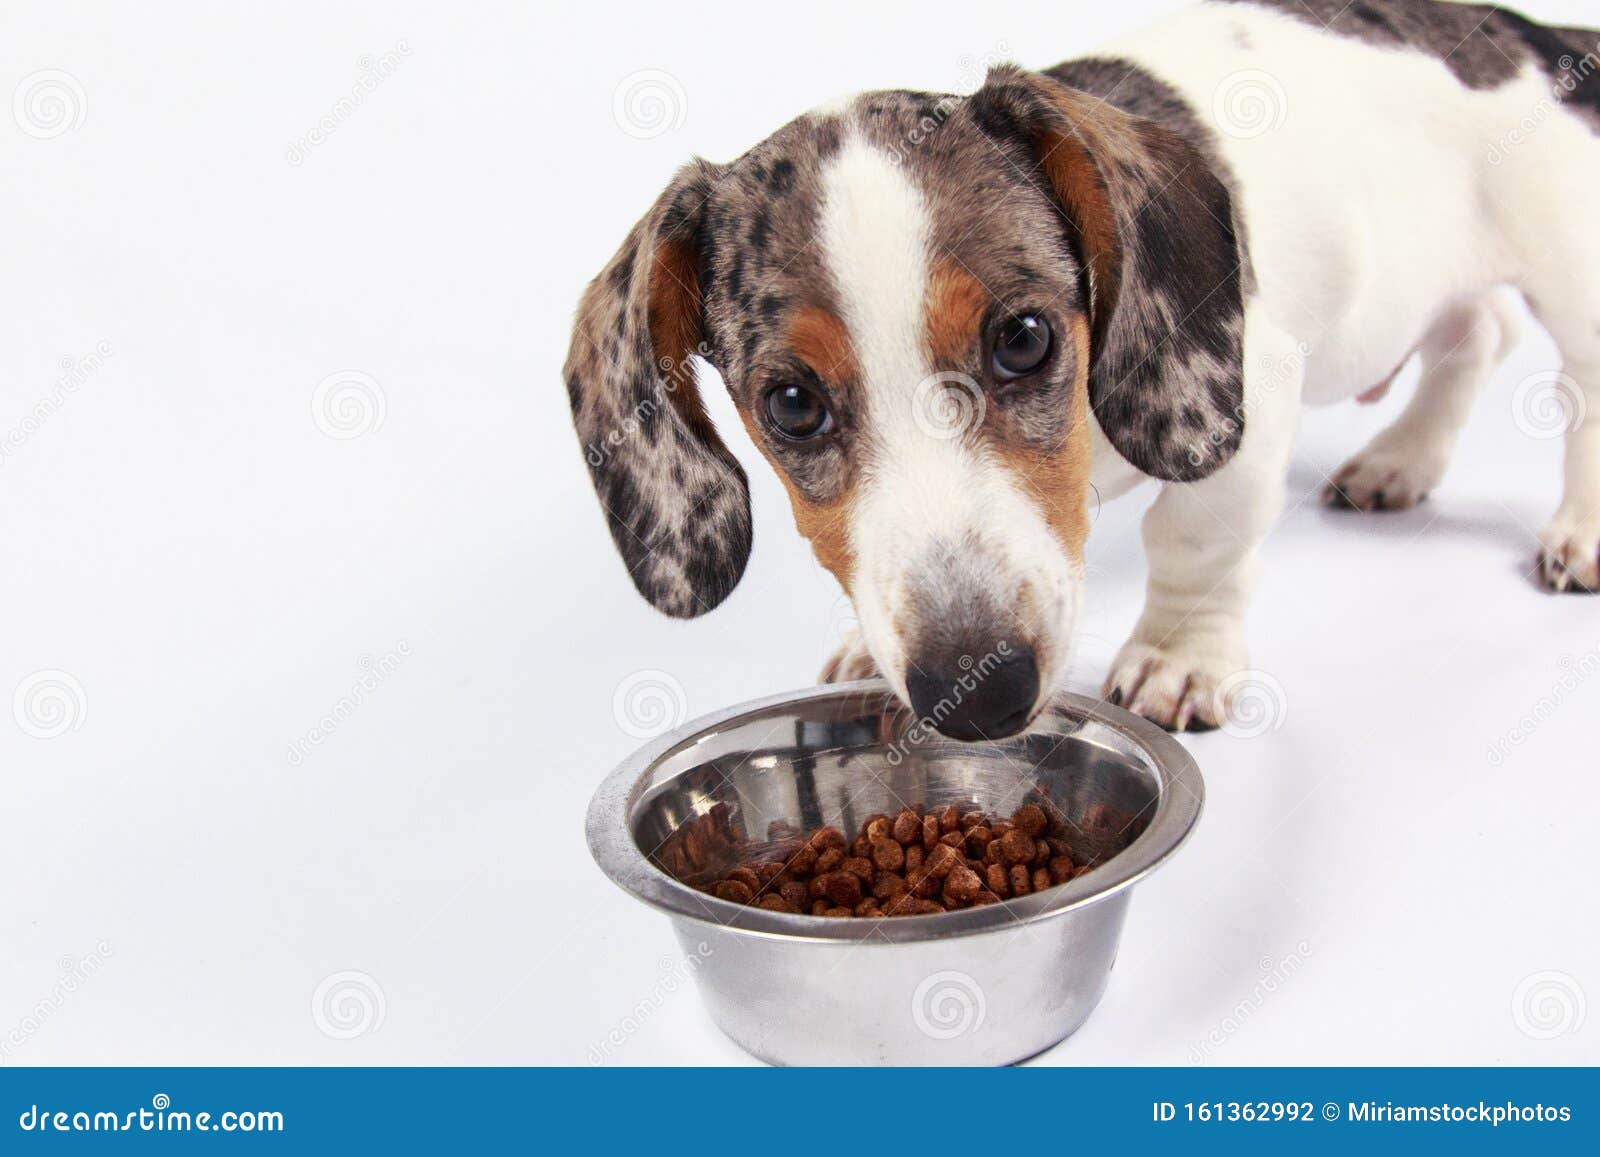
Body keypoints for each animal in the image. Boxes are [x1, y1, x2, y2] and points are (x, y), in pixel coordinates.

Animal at [563, 0, 1600, 736]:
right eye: (790, 403)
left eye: (1023, 338)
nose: (977, 697)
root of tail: (1538, 35)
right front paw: (866, 644)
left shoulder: (1255, 399)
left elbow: (1196, 539)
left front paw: (1178, 656)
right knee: (1478, 334)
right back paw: (1401, 460)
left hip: (1569, 268)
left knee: (1575, 388)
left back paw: (1580, 530)